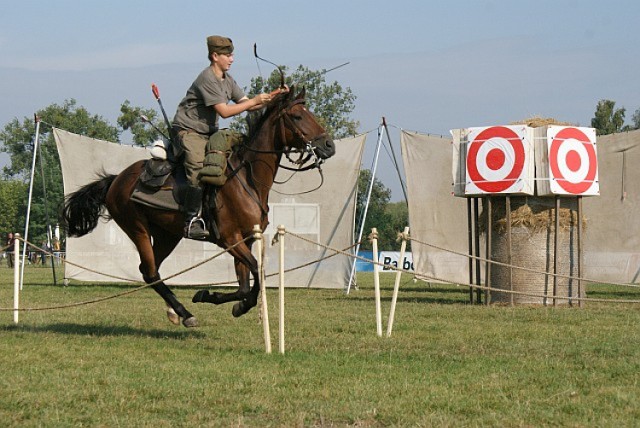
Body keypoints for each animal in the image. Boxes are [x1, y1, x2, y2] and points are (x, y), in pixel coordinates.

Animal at [61, 87, 336, 328]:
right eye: (298, 116)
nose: (329, 146)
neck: (247, 179)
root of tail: (116, 179)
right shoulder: (230, 240)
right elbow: (257, 276)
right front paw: (217, 299)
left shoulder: (245, 241)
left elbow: (245, 286)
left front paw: (222, 300)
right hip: (137, 228)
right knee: (149, 272)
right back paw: (185, 314)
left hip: (167, 235)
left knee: (150, 270)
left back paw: (175, 311)